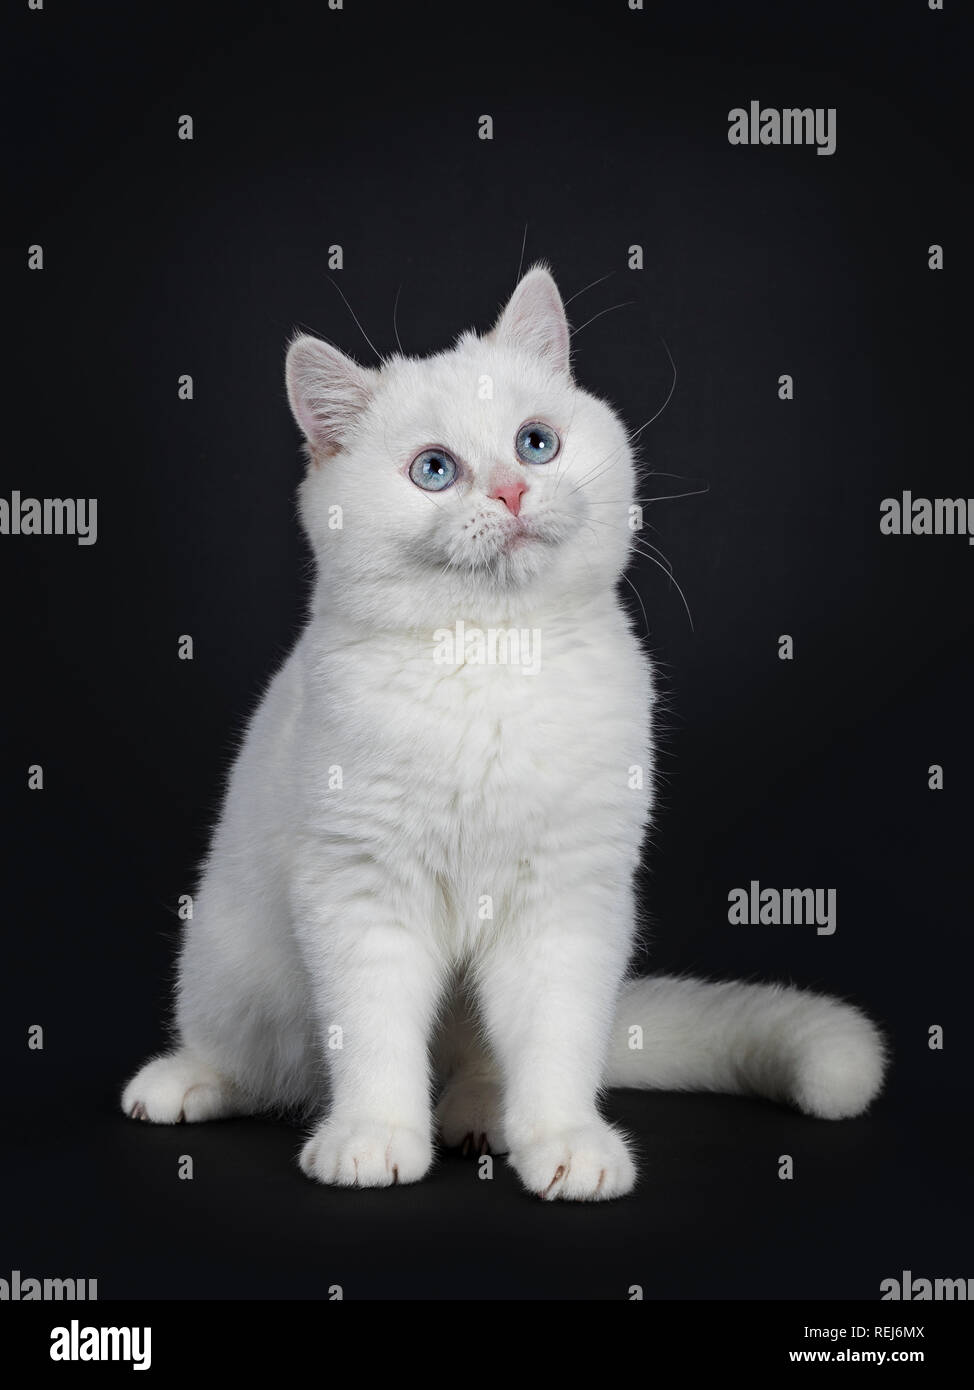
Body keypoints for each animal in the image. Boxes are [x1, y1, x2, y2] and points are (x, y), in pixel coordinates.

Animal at [119, 268, 883, 1195]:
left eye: (536, 444)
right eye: (435, 470)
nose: (512, 492)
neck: (493, 661)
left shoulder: (566, 900)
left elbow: (555, 1042)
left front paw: (565, 1143)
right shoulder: (362, 890)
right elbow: (372, 1036)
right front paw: (374, 1138)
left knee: (481, 1066)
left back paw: (480, 1120)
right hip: (230, 962)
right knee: (256, 1059)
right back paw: (184, 1081)